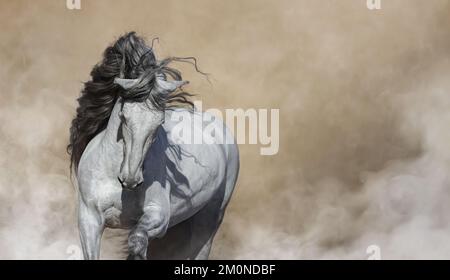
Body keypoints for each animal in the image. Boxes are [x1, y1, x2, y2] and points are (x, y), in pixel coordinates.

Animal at [67, 32, 239, 260]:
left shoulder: (159, 216)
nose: (131, 180)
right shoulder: (89, 220)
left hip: (209, 218)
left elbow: (137, 240)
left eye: (159, 122)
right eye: (123, 116)